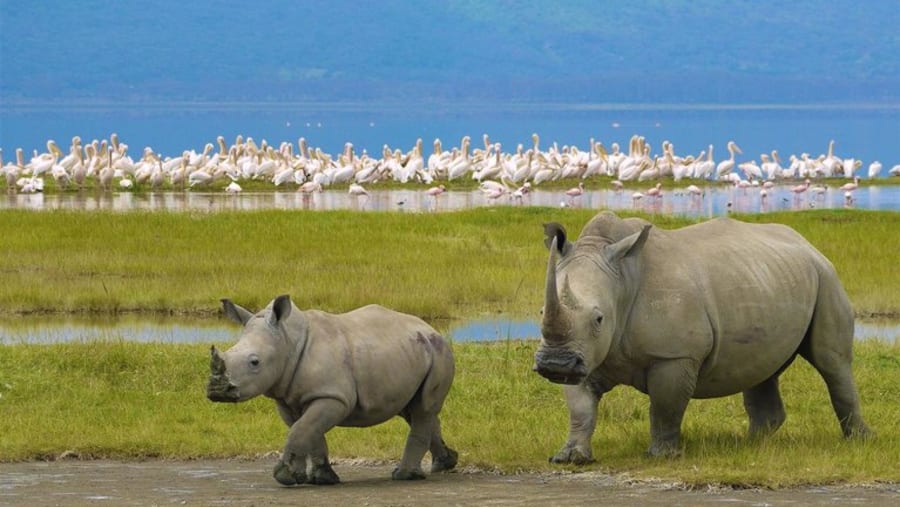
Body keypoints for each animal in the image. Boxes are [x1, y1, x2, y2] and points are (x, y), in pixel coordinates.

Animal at [207, 295, 457, 485]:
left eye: (254, 362)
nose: (217, 391)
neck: (287, 341)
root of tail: (430, 329)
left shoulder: (333, 396)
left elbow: (301, 430)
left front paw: (285, 477)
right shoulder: (289, 399)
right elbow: (308, 431)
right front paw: (319, 479)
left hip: (439, 353)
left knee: (423, 408)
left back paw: (404, 476)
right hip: (412, 352)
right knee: (413, 410)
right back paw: (444, 463)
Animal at [533, 211, 872, 464]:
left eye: (599, 319)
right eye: (541, 311)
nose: (554, 364)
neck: (622, 281)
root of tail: (808, 243)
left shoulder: (674, 355)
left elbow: (665, 407)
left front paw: (661, 456)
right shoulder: (584, 354)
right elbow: (580, 407)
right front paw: (570, 458)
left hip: (827, 278)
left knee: (832, 363)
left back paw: (859, 441)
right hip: (768, 279)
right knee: (763, 367)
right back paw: (750, 445)